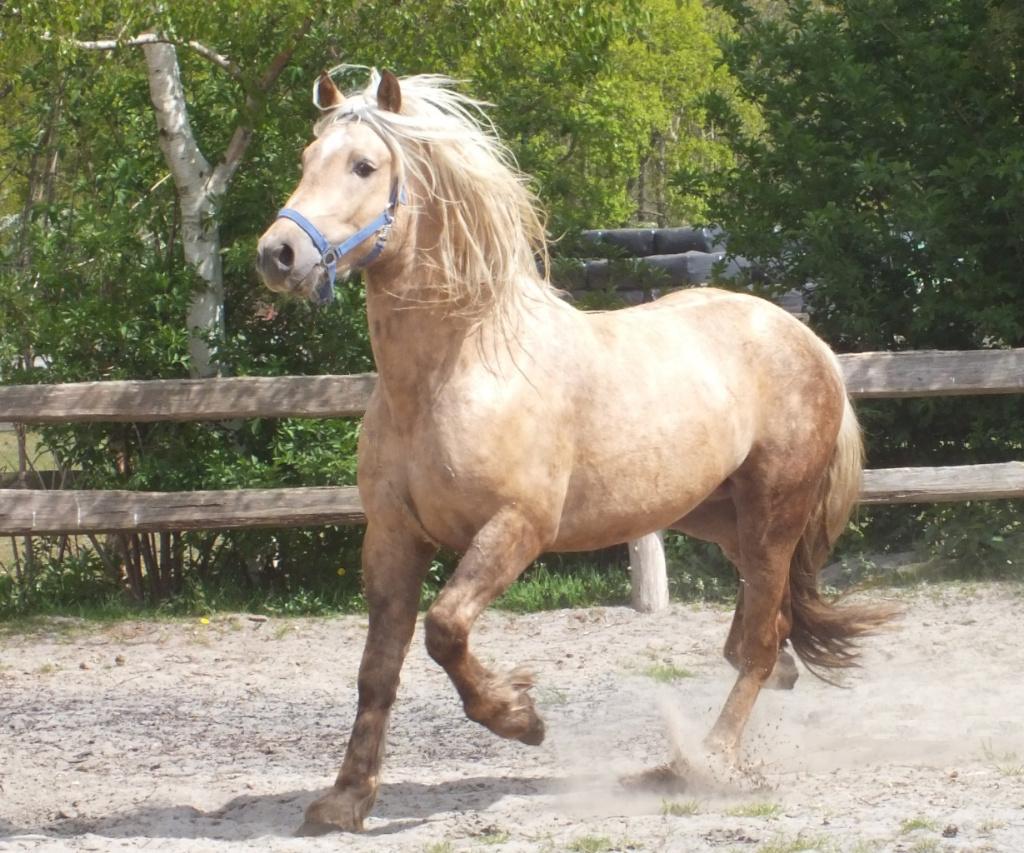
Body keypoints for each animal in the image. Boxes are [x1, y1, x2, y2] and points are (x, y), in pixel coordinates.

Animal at [256, 68, 890, 834]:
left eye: (364, 165)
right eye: (305, 157)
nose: (278, 254)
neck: (453, 372)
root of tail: (810, 344)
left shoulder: (517, 528)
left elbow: (444, 629)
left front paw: (520, 717)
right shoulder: (392, 537)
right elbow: (377, 670)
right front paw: (345, 799)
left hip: (774, 514)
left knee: (762, 644)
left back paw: (704, 763)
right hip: (719, 518)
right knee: (769, 628)